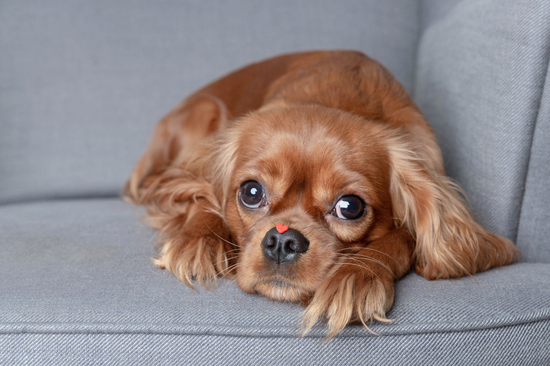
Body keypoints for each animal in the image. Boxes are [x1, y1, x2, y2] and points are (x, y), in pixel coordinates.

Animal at [126, 50, 520, 338]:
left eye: (350, 206)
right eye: (251, 192)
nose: (282, 240)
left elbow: (402, 238)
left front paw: (355, 278)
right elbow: (203, 195)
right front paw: (199, 240)